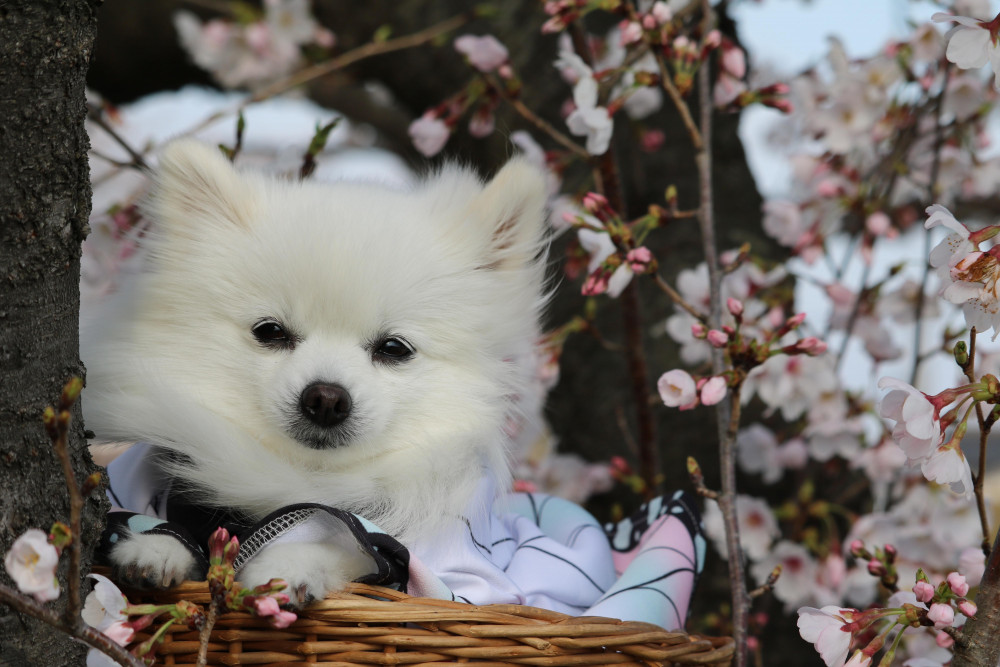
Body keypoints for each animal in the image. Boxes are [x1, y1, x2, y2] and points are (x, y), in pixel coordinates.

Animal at [82, 141, 548, 604]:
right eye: (270, 331)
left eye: (394, 348)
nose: (325, 398)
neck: (305, 480)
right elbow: (155, 522)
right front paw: (155, 548)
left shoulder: (460, 579)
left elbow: (361, 553)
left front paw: (288, 564)